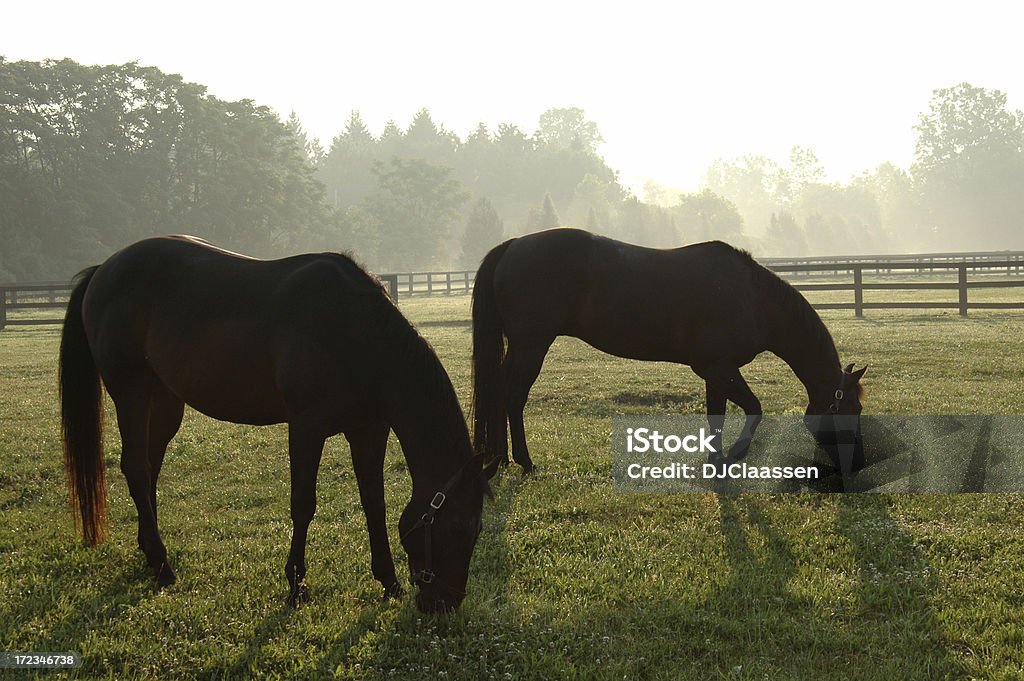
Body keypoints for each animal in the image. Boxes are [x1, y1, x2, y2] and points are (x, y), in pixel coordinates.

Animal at [60, 235, 491, 610]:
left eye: (476, 531)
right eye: (456, 528)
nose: (444, 604)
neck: (352, 329)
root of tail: (104, 270)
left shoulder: (368, 429)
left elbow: (374, 502)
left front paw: (389, 582)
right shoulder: (306, 426)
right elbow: (303, 504)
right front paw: (296, 586)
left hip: (164, 402)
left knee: (149, 468)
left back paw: (151, 554)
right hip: (131, 394)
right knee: (135, 467)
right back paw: (164, 567)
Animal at [471, 228, 864, 473]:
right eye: (853, 409)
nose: (858, 462)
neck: (752, 298)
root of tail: (514, 245)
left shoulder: (716, 371)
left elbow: (716, 416)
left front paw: (715, 461)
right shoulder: (719, 369)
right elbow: (754, 408)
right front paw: (735, 456)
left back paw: (501, 459)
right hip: (531, 346)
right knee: (513, 395)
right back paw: (524, 461)